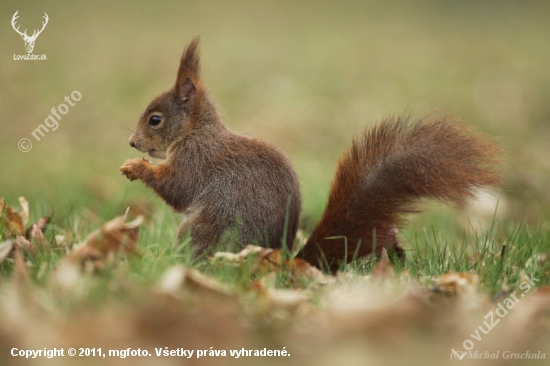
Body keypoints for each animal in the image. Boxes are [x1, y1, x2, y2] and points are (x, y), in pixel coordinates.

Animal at [121, 38, 504, 272]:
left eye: (155, 119)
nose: (132, 143)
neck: (196, 132)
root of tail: (280, 263)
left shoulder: (196, 160)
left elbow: (178, 188)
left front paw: (137, 167)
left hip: (204, 231)